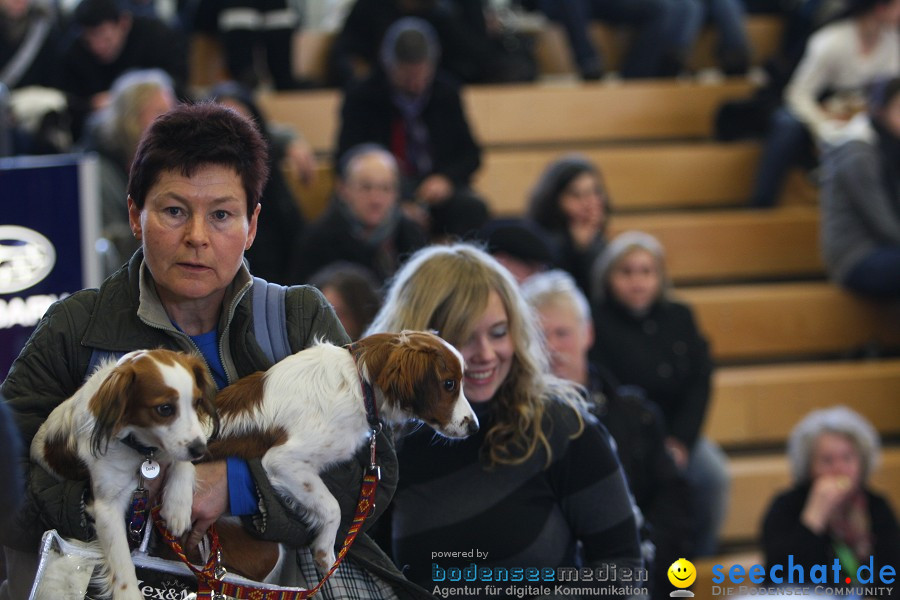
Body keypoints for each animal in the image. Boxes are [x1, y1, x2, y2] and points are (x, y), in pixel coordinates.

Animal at [31, 346, 218, 600]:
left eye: (197, 401)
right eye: (165, 409)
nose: (200, 450)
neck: (141, 448)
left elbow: (182, 463)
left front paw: (177, 508)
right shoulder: (106, 507)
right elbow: (120, 558)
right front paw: (129, 592)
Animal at [210, 332, 478, 572]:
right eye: (449, 384)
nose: (475, 427)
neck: (359, 386)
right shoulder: (283, 461)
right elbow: (333, 507)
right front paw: (325, 552)